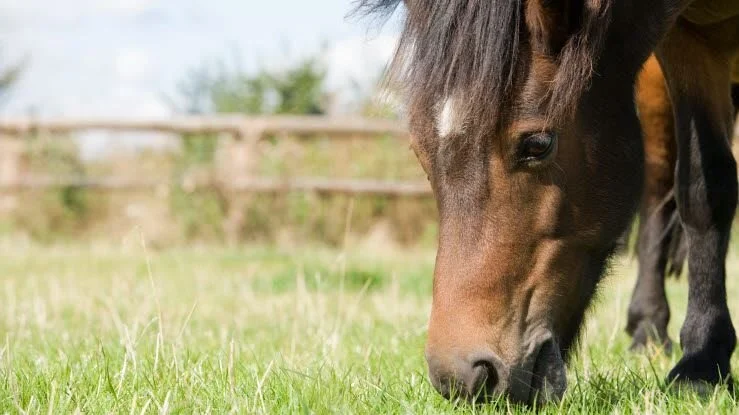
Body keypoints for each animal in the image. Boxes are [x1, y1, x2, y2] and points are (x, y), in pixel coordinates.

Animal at [356, 0, 739, 406]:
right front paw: (704, 360)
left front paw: (701, 367)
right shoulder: (690, 42)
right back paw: (647, 329)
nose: (462, 378)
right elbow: (701, 190)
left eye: (537, 144)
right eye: (421, 152)